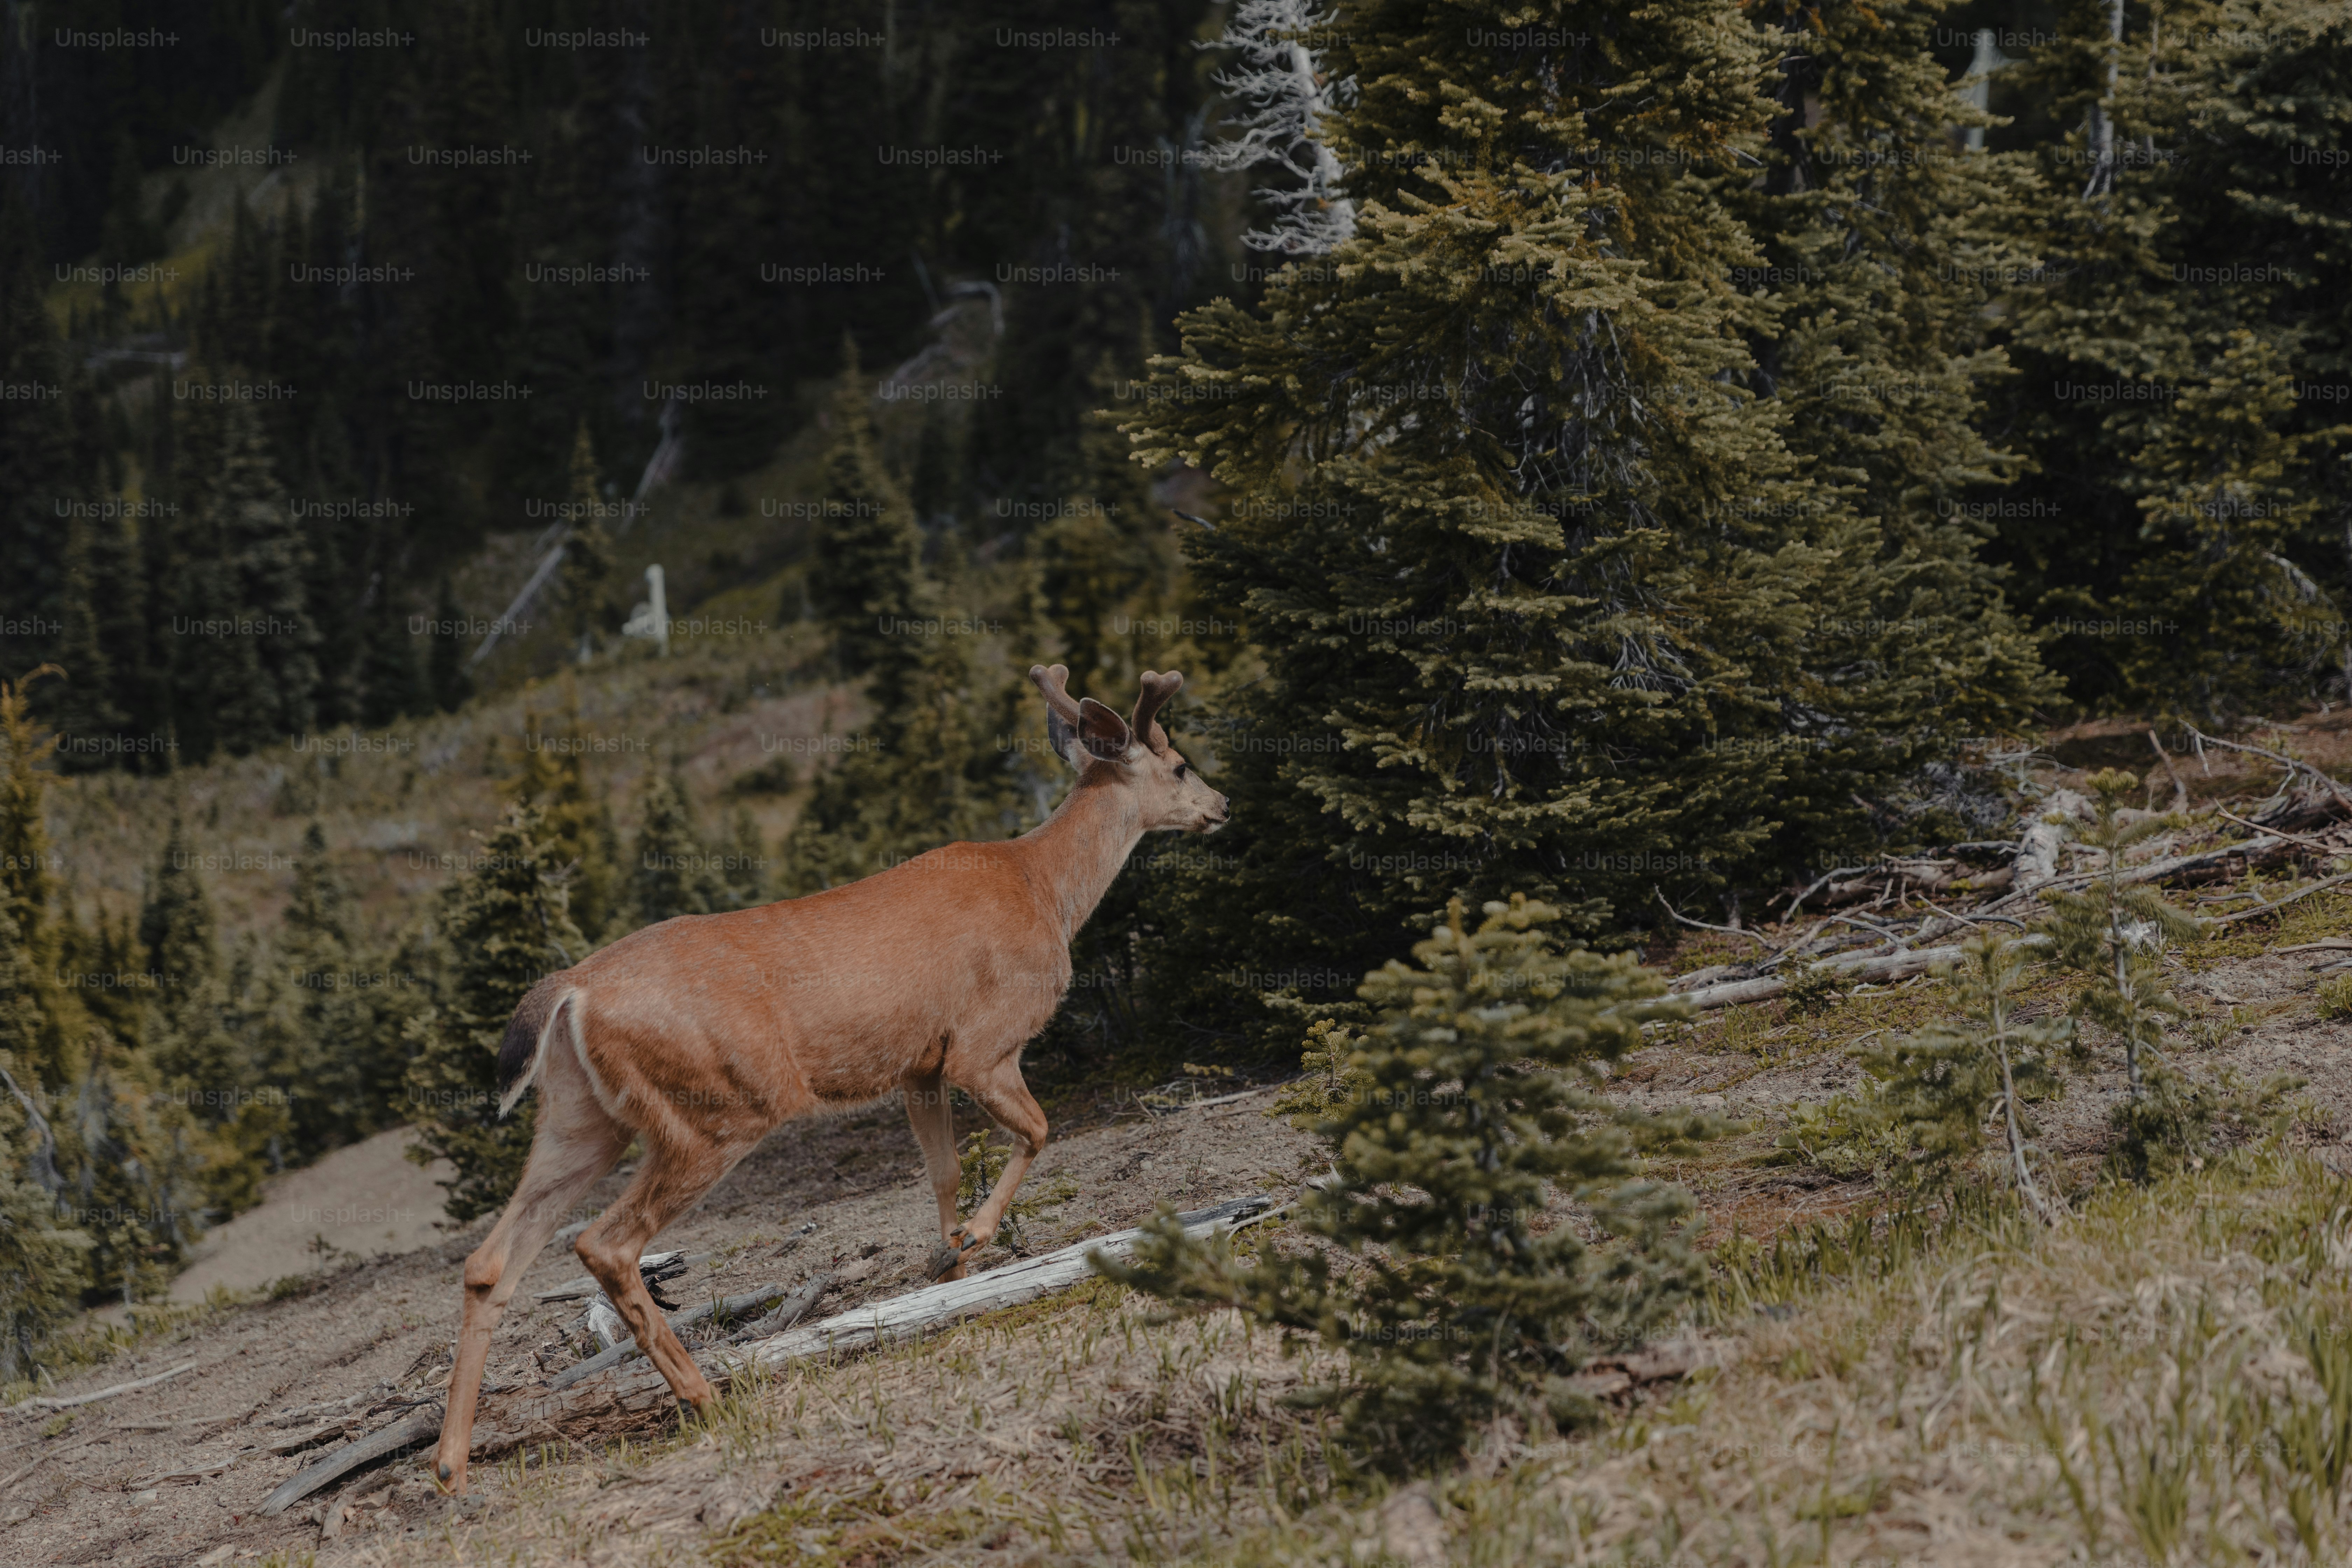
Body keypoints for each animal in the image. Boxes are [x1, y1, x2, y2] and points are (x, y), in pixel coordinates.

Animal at [429, 665, 1229, 1492]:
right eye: (1180, 765)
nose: (1223, 806)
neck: (1047, 888)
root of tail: (572, 989)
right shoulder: (984, 1042)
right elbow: (1039, 1130)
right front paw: (975, 1238)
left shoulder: (920, 1064)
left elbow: (943, 1169)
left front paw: (949, 1259)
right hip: (719, 1107)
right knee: (606, 1245)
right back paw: (705, 1395)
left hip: (581, 1117)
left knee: (490, 1261)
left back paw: (451, 1464)